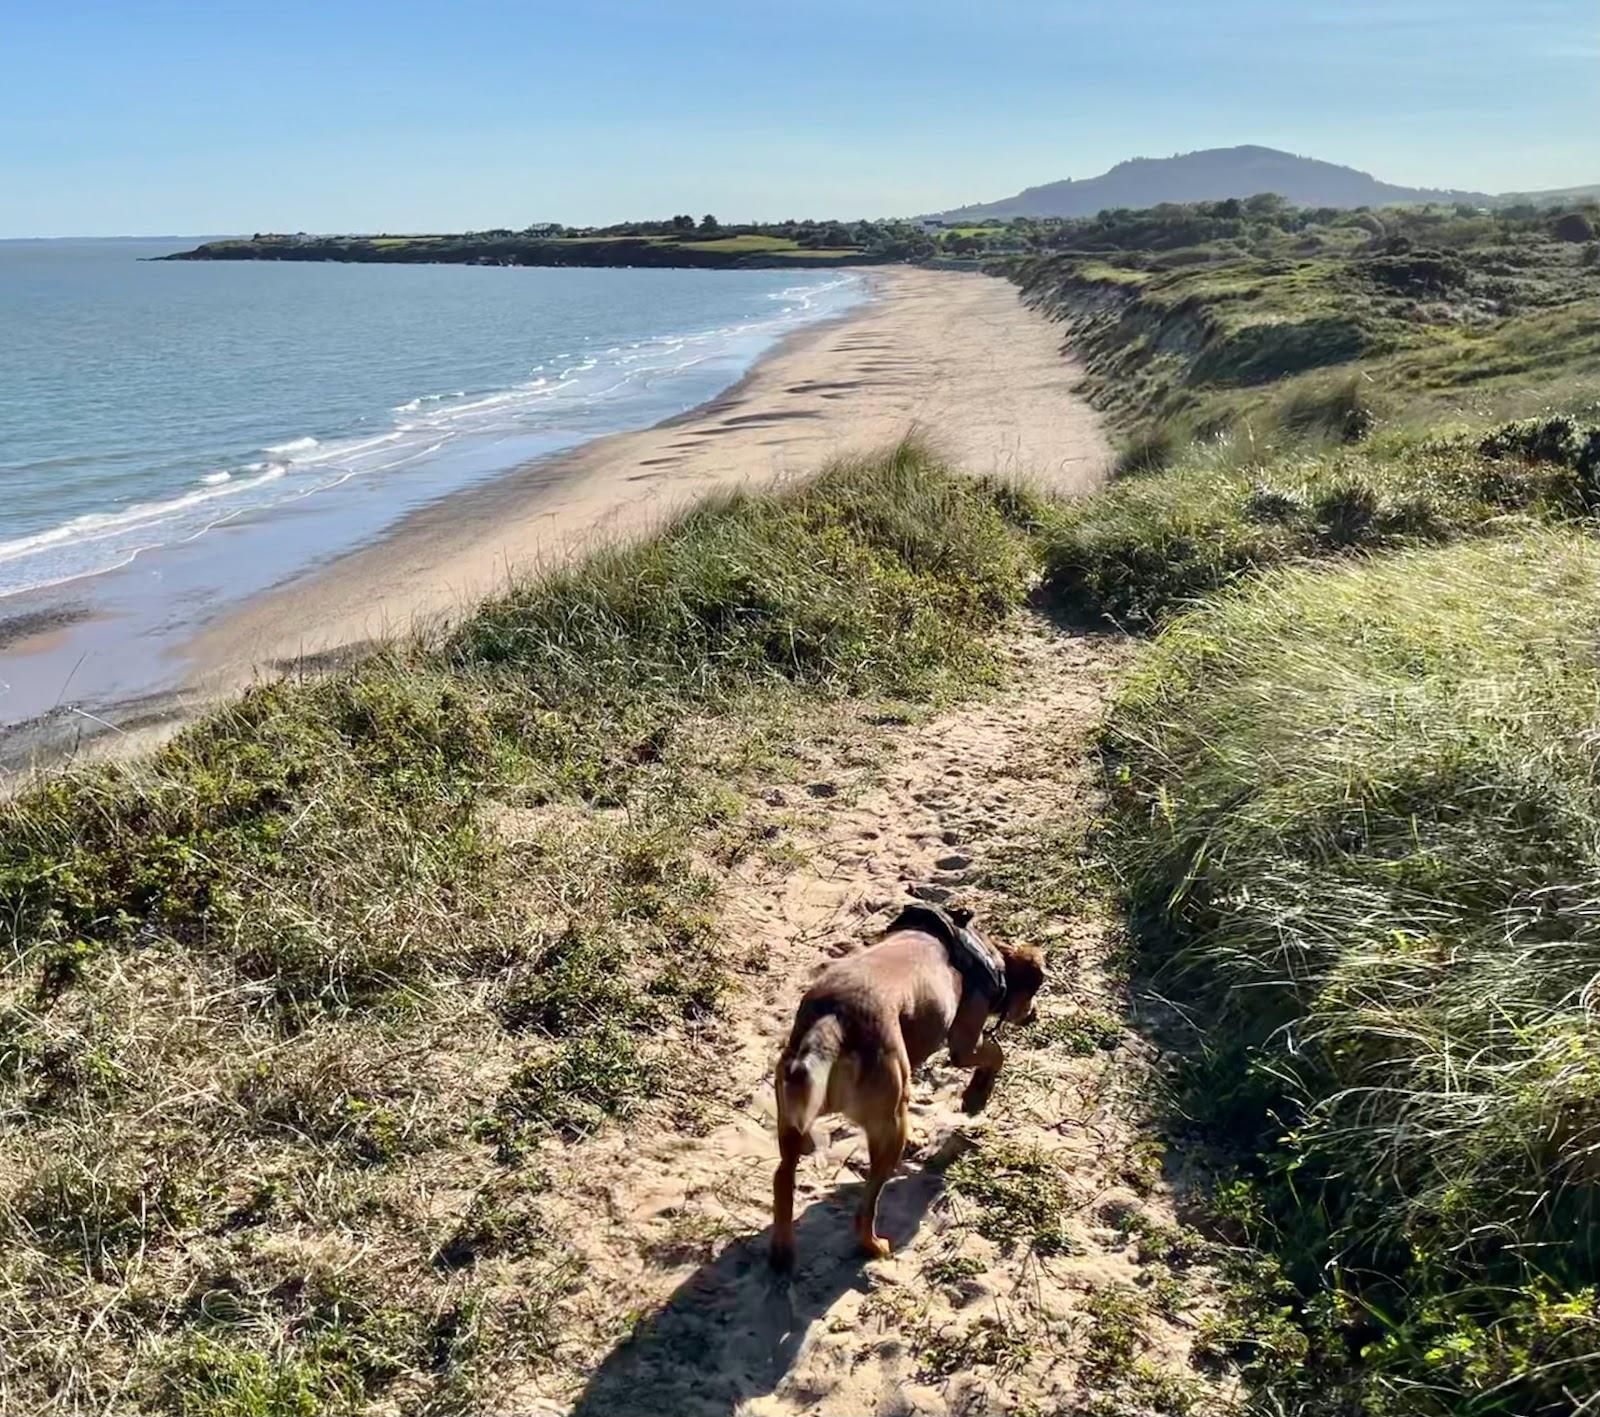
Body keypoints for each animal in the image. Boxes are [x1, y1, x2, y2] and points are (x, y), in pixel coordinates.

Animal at [768, 908, 1043, 1273]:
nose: (1034, 1016)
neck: (987, 950)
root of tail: (834, 1020)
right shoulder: (964, 1041)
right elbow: (996, 1054)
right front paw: (976, 1095)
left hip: (793, 1113)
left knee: (783, 1177)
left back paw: (783, 1251)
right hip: (888, 1125)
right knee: (865, 1208)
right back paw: (875, 1246)